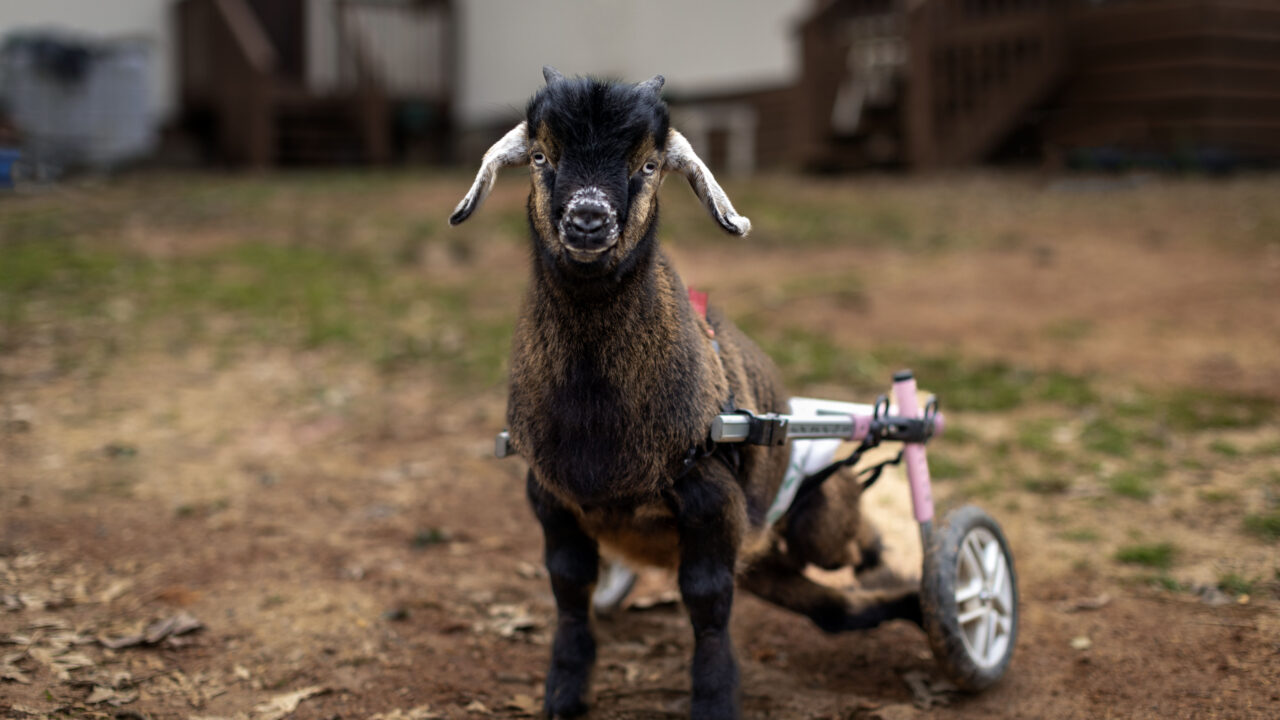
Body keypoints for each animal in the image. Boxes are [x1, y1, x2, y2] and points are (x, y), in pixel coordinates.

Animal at [450, 67, 920, 720]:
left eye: (648, 164)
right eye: (542, 155)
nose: (589, 220)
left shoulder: (712, 500)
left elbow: (707, 605)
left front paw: (715, 699)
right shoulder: (549, 497)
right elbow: (569, 588)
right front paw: (565, 691)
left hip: (816, 517)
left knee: (850, 543)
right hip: (768, 560)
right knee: (833, 608)